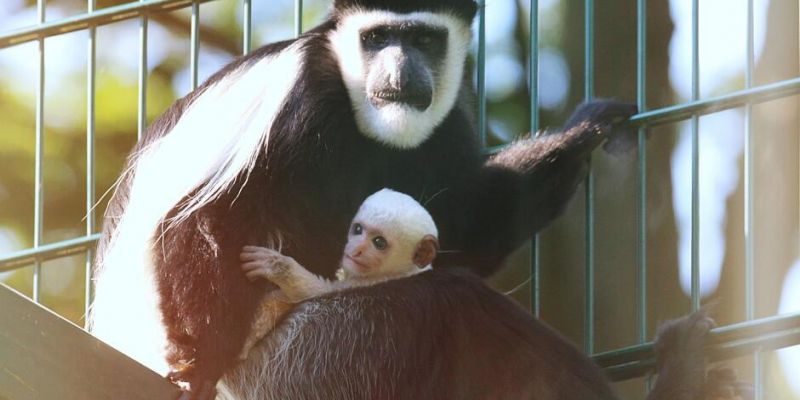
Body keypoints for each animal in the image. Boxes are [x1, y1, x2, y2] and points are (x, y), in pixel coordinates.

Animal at [238, 188, 438, 360]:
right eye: (358, 230)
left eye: (379, 242)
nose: (356, 249)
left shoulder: (377, 283)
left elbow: (318, 295)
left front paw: (275, 265)